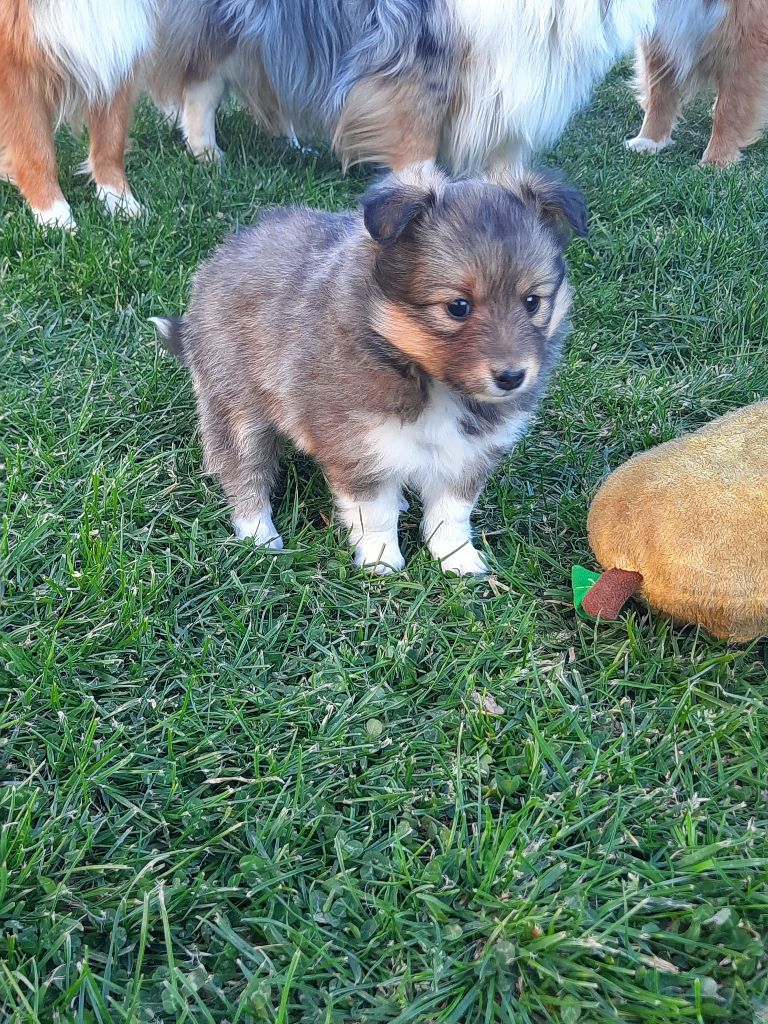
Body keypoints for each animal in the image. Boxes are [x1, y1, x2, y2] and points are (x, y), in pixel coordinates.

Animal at [0, 0, 156, 228]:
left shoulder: (116, 54)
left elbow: (111, 143)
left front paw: (120, 199)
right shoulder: (17, 75)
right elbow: (37, 152)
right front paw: (53, 213)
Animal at [151, 163, 589, 573]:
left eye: (532, 302)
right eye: (458, 306)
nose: (512, 377)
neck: (421, 372)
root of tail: (225, 252)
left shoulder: (469, 452)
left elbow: (452, 511)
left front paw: (458, 559)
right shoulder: (357, 444)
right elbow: (374, 511)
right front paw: (382, 561)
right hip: (236, 408)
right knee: (244, 474)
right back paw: (259, 535)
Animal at [626, 0, 765, 163]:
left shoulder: (745, 36)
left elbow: (729, 109)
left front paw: (717, 157)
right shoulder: (661, 31)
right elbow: (659, 95)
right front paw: (650, 139)